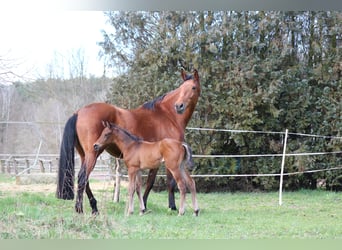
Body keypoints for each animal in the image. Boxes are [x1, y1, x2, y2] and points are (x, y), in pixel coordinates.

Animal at [56, 69, 200, 215]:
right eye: (182, 88)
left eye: (193, 87)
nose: (179, 106)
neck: (167, 115)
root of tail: (78, 113)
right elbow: (161, 182)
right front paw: (169, 206)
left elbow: (147, 183)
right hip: (93, 153)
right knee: (82, 178)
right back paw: (81, 209)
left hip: (84, 155)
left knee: (85, 180)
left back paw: (93, 207)